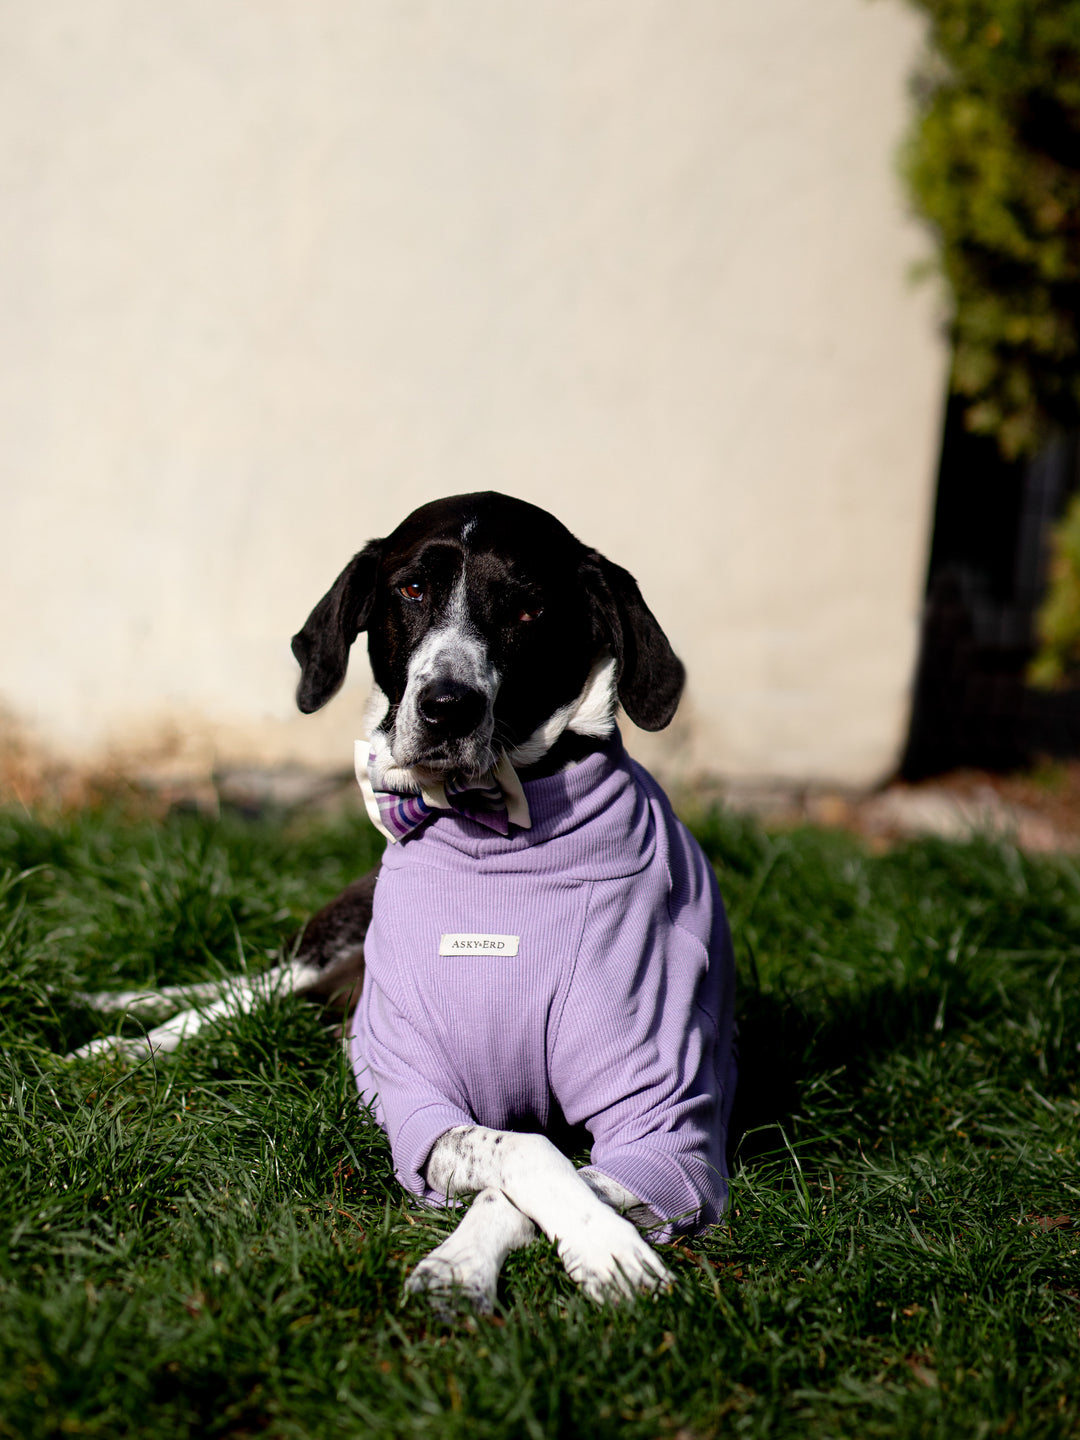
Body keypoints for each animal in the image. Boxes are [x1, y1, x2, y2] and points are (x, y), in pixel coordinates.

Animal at [72, 492, 743, 1307]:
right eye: (412, 590)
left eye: (528, 608)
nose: (446, 707)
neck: (494, 837)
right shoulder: (420, 1100)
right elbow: (525, 1148)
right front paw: (595, 1245)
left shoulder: (668, 1133)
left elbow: (547, 1172)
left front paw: (499, 1261)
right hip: (333, 936)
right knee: (234, 996)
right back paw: (122, 1040)